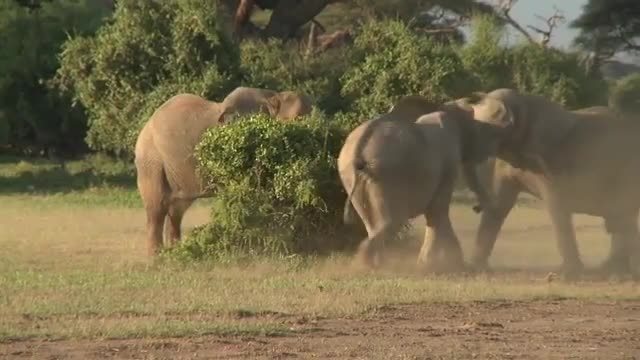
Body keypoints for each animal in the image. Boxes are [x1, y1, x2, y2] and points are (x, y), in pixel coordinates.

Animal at [134, 87, 312, 256]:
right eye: (293, 120)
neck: (273, 96)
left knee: (176, 211)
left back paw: (175, 253)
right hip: (151, 164)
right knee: (156, 210)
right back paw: (157, 259)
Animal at [340, 95, 510, 270]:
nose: (477, 208)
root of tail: (359, 149)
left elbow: (434, 211)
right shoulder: (449, 159)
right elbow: (438, 210)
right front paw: (448, 265)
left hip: (352, 175)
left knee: (375, 225)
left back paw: (373, 264)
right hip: (385, 173)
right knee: (393, 221)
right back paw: (365, 264)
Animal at [468, 88, 640, 280]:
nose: (475, 208)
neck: (521, 102)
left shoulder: (549, 162)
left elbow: (556, 206)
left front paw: (567, 276)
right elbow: (499, 206)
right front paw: (477, 269)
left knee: (621, 213)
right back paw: (611, 270)